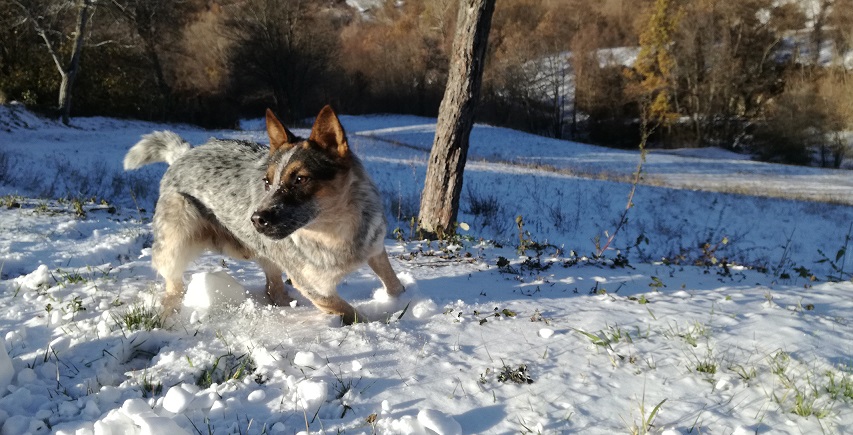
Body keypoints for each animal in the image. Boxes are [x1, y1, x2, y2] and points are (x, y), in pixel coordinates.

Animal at [123, 104, 406, 324]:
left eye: (300, 179)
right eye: (267, 182)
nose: (256, 219)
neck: (335, 232)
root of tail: (184, 152)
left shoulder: (375, 248)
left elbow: (392, 283)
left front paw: (402, 300)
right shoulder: (316, 288)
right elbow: (353, 314)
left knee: (272, 287)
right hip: (178, 237)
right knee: (173, 281)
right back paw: (169, 311)